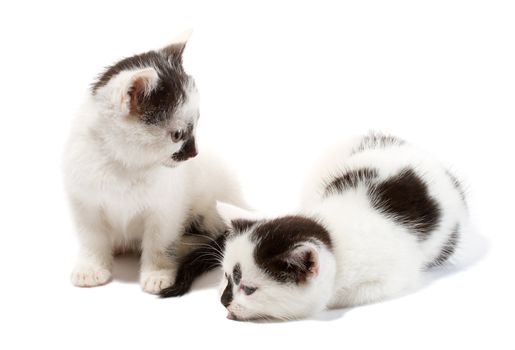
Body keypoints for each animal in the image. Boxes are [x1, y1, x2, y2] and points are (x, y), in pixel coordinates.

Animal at [63, 34, 246, 294]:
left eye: (196, 123)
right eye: (178, 134)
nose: (194, 153)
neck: (126, 165)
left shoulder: (166, 208)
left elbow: (159, 241)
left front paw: (158, 273)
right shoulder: (84, 201)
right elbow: (92, 238)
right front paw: (91, 268)